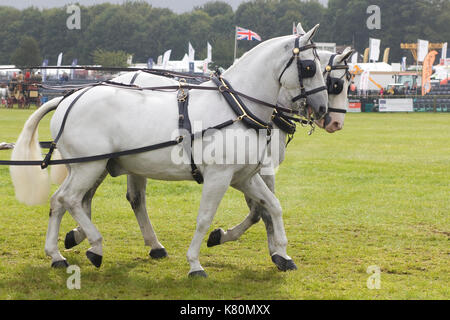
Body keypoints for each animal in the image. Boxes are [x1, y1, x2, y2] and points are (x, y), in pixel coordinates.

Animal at [10, 25, 326, 276]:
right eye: (310, 67)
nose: (323, 109)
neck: (237, 107)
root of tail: (69, 97)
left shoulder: (244, 176)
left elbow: (272, 205)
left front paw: (283, 254)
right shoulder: (219, 176)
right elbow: (205, 218)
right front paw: (195, 263)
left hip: (86, 166)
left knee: (60, 201)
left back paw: (58, 255)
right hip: (90, 165)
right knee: (71, 199)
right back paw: (95, 246)